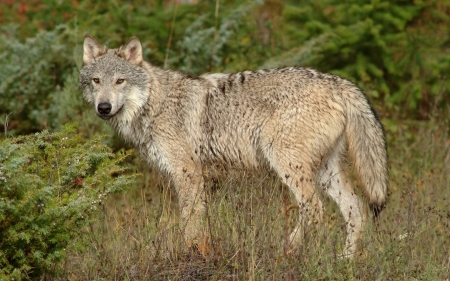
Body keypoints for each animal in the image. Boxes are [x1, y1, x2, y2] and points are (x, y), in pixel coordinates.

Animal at [77, 34, 386, 256]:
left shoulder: (188, 173)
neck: (155, 103)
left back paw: (288, 249)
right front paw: (202, 250)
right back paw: (345, 262)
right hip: (325, 173)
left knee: (315, 210)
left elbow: (189, 221)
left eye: (120, 81)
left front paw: (192, 253)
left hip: (288, 165)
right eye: (96, 81)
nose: (103, 107)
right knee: (356, 211)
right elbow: (199, 221)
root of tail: (339, 82)